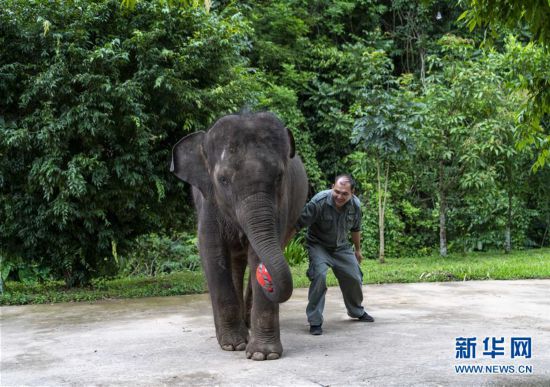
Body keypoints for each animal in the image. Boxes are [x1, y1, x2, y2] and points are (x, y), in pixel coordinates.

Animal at [171, 111, 310, 360]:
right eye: (223, 180)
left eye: (279, 176)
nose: (267, 279)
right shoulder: (208, 202)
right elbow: (212, 253)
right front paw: (233, 345)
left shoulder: (281, 206)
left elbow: (258, 252)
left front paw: (263, 355)